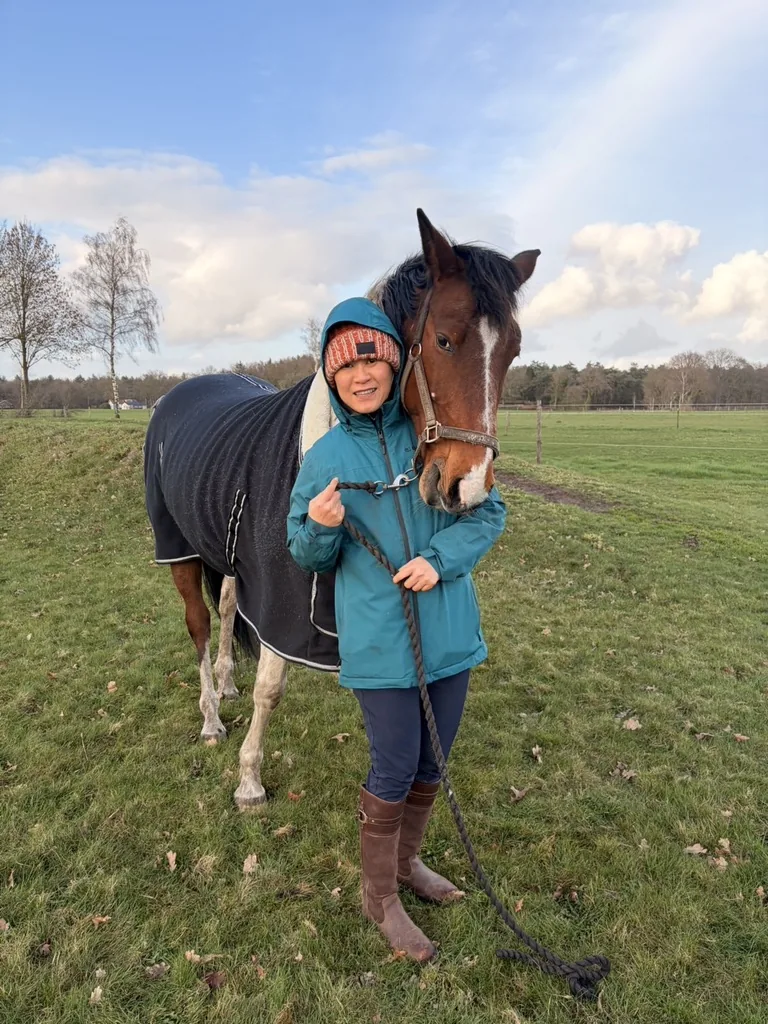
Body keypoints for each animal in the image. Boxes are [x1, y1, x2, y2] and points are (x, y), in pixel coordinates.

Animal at [144, 209, 539, 810]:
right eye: (444, 339)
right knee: (199, 625)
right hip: (179, 549)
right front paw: (249, 781)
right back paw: (211, 717)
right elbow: (271, 688)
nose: (466, 489)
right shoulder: (282, 600)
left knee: (229, 605)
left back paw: (227, 682)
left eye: (512, 351)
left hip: (226, 551)